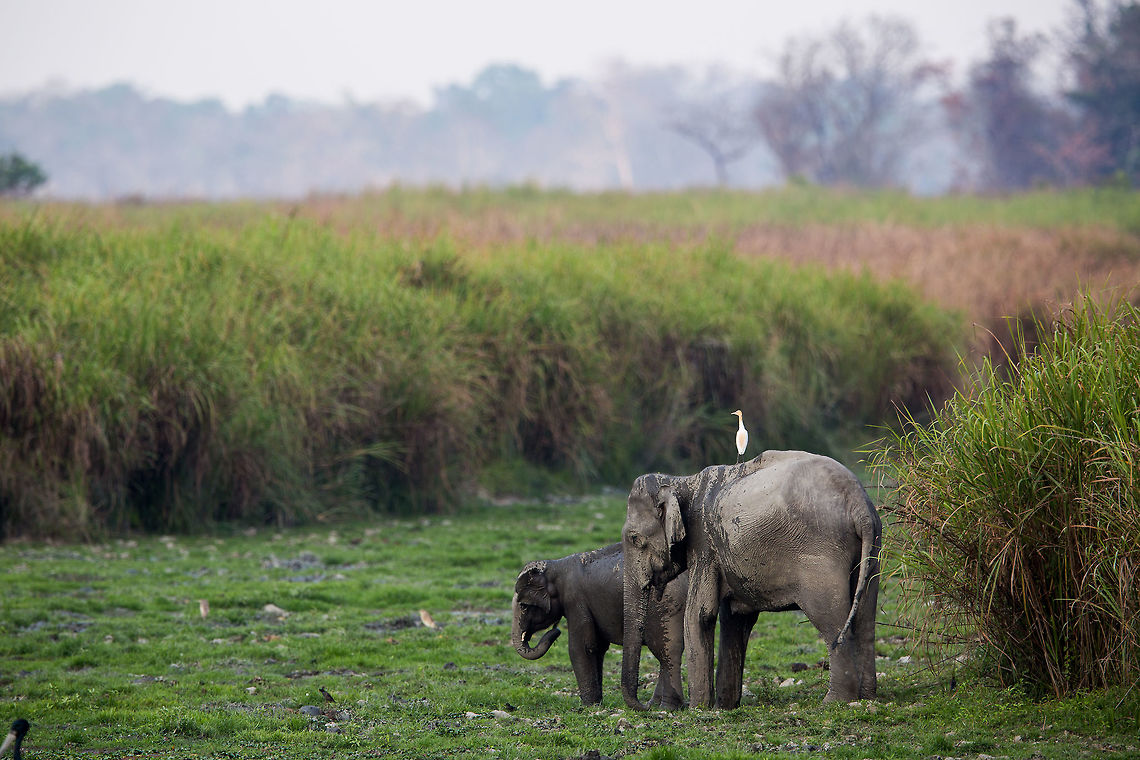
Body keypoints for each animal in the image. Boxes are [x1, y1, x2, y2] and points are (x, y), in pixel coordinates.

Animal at [512, 542, 688, 708]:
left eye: (524, 606)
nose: (556, 631)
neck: (556, 565)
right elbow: (598, 648)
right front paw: (596, 703)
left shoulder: (575, 602)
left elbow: (581, 648)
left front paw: (588, 705)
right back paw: (656, 705)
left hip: (663, 607)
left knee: (666, 651)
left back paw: (667, 707)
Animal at [620, 450, 881, 710]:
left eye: (634, 539)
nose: (646, 706)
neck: (683, 482)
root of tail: (858, 503)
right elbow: (735, 618)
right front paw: (724, 707)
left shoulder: (704, 544)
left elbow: (699, 614)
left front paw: (698, 709)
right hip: (872, 549)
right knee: (865, 619)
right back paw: (867, 696)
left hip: (820, 555)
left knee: (831, 622)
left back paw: (834, 701)